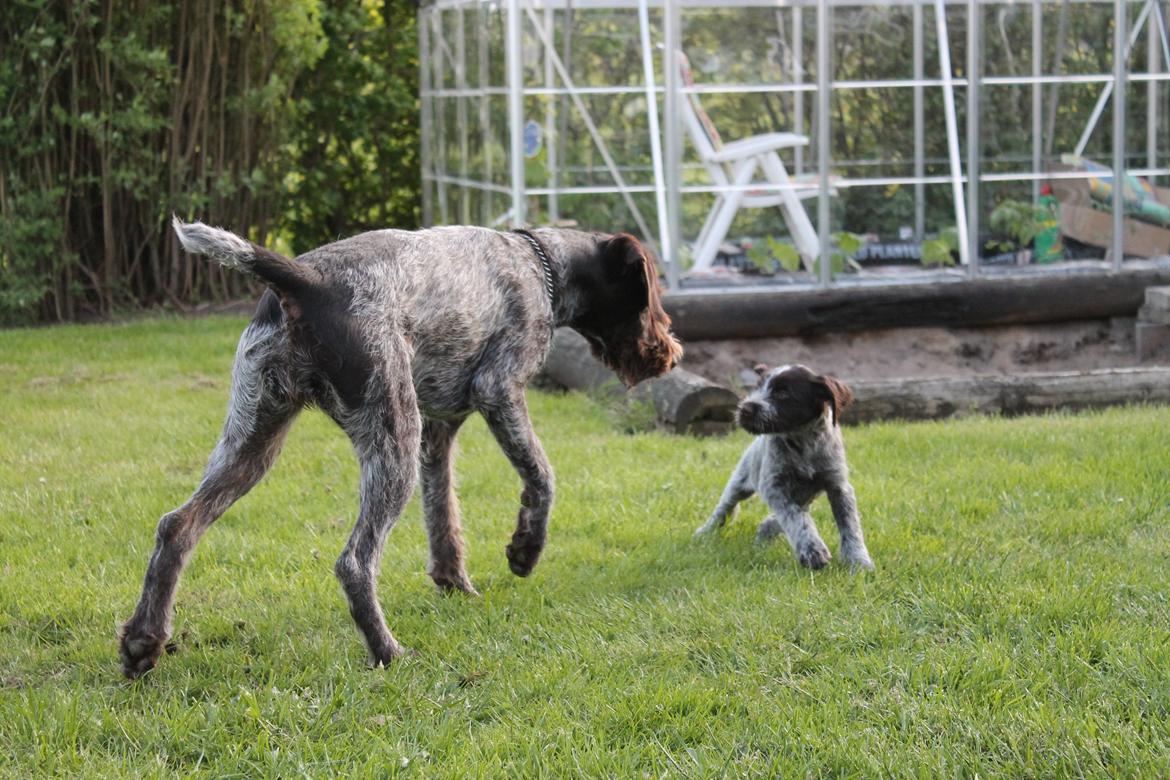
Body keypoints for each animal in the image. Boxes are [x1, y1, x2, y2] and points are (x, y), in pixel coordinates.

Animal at [116, 215, 683, 678]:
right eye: (651, 291)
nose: (672, 353)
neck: (538, 263)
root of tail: (305, 281)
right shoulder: (500, 390)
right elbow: (541, 478)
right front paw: (525, 550)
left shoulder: (438, 432)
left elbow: (444, 517)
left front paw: (454, 583)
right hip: (391, 443)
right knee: (354, 562)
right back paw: (388, 652)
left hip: (254, 443)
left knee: (177, 526)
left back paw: (144, 641)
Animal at [687, 362, 875, 570]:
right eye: (757, 387)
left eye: (783, 393)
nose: (745, 409)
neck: (802, 442)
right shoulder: (775, 487)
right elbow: (796, 518)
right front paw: (813, 550)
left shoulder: (838, 486)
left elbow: (850, 525)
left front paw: (858, 560)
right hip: (740, 482)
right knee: (724, 508)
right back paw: (705, 532)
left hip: (806, 495)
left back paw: (764, 532)